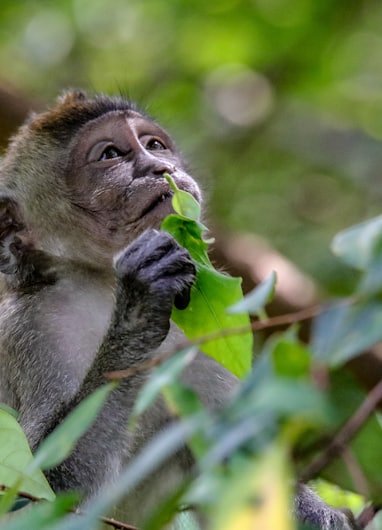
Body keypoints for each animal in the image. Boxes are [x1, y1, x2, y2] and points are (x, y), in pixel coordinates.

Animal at [0, 91, 358, 524]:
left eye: (154, 145)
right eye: (110, 154)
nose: (161, 167)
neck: (100, 289)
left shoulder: (203, 341)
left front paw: (322, 515)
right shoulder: (33, 331)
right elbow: (39, 499)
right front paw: (138, 308)